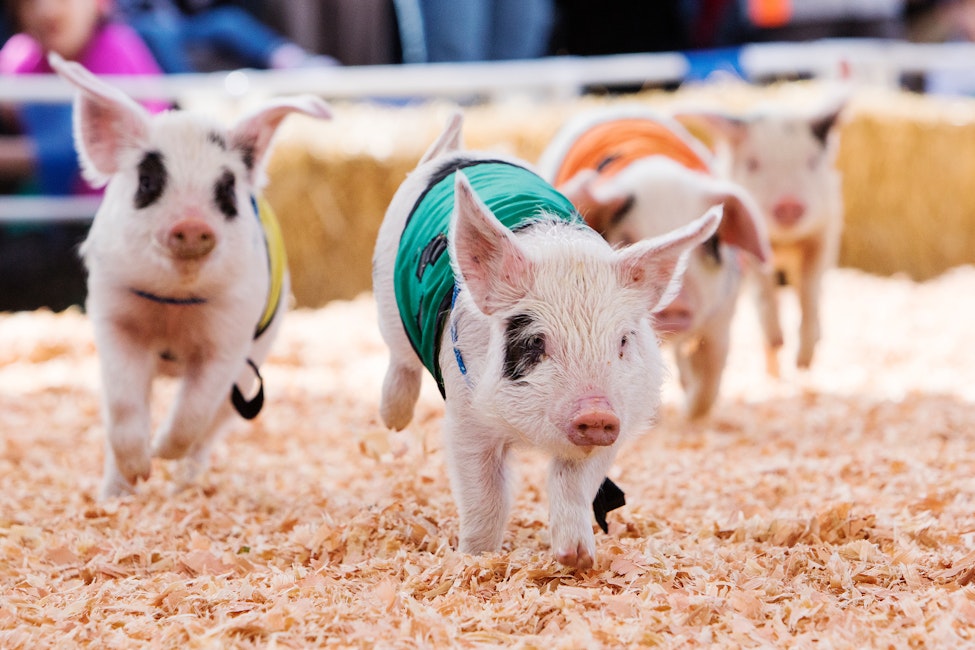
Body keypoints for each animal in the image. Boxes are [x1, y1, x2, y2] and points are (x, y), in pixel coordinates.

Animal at [49, 53, 332, 498]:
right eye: (148, 181)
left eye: (226, 190)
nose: (193, 224)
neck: (174, 305)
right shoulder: (113, 316)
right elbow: (124, 406)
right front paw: (139, 471)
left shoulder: (230, 335)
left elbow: (194, 410)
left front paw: (161, 454)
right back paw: (115, 494)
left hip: (250, 372)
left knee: (210, 431)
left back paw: (182, 485)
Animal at [372, 113, 720, 568]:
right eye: (536, 341)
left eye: (623, 340)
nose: (596, 411)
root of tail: (456, 152)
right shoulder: (467, 415)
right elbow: (484, 497)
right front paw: (475, 558)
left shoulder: (621, 419)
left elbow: (572, 483)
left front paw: (576, 559)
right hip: (386, 295)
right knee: (399, 358)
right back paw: (392, 420)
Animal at [537, 108, 771, 418]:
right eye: (626, 239)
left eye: (707, 242)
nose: (675, 301)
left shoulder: (723, 311)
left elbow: (711, 369)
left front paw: (690, 415)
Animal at [675, 96, 846, 374]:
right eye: (753, 163)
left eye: (811, 161)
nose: (788, 203)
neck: (783, 242)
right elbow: (764, 290)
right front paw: (778, 342)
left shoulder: (825, 232)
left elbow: (809, 290)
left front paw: (803, 363)